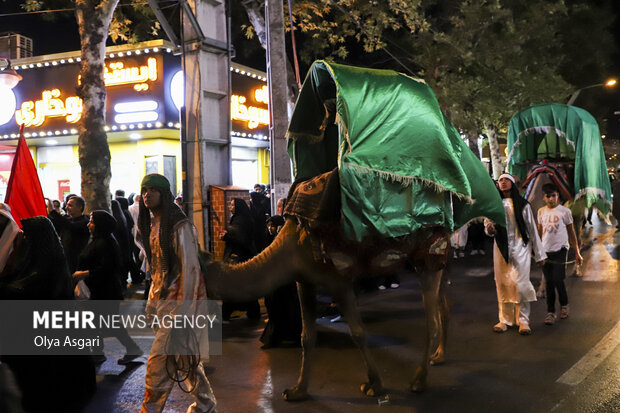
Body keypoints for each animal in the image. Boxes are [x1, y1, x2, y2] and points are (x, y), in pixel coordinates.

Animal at [201, 212, 448, 400]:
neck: (289, 248)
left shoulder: (339, 280)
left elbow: (358, 333)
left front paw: (375, 385)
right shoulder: (304, 281)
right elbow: (307, 337)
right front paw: (297, 391)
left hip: (428, 258)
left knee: (432, 322)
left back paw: (419, 380)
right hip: (437, 263)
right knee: (443, 306)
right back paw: (439, 357)